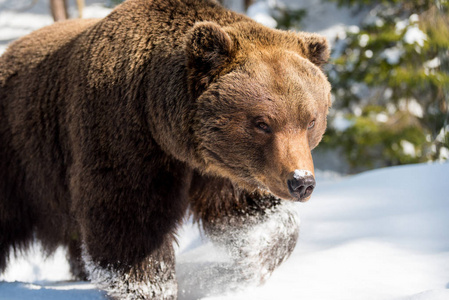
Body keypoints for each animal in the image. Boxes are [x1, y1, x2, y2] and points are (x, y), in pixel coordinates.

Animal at [0, 0, 328, 296]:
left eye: (310, 120)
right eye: (262, 123)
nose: (301, 182)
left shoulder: (227, 166)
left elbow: (247, 214)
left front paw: (239, 269)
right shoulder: (123, 136)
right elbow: (130, 219)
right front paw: (149, 285)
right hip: (22, 158)